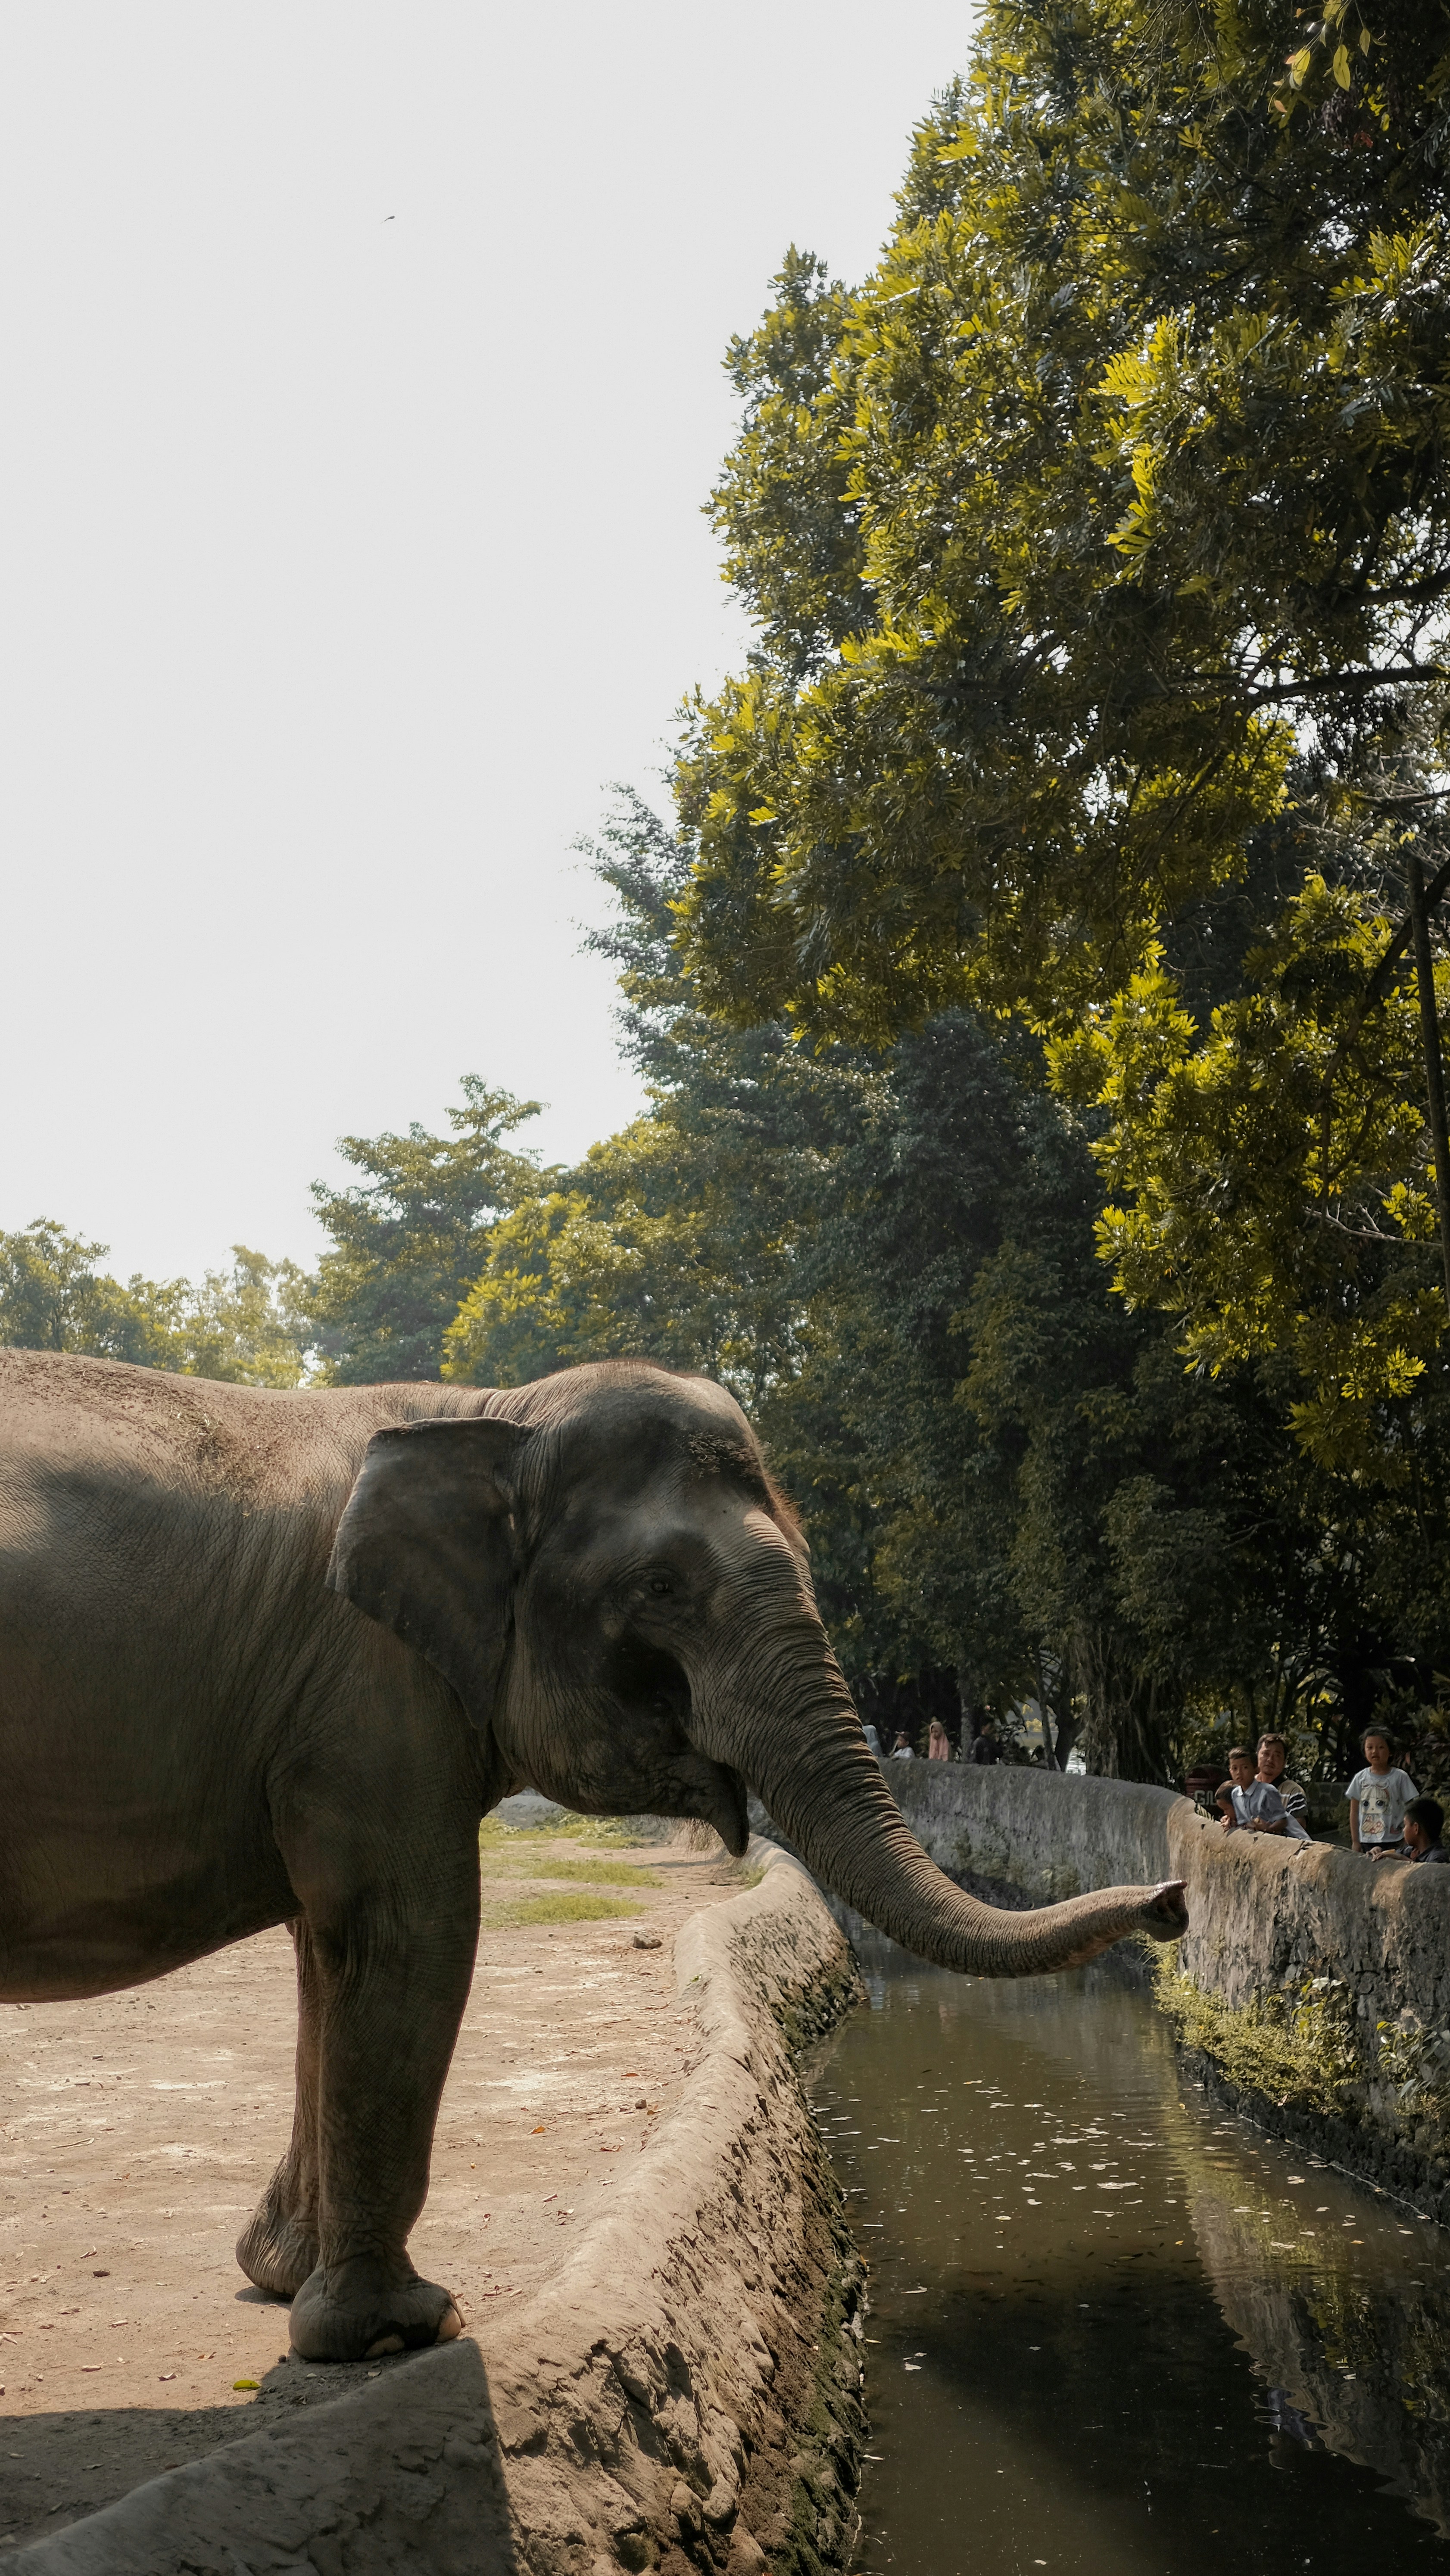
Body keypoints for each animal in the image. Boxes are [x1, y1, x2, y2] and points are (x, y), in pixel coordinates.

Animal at [0, 1348, 1187, 2362]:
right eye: (659, 1587)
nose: (1174, 1897)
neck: (487, 1410)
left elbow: (321, 1950)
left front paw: (284, 2277)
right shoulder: (370, 1689)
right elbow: (409, 1933)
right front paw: (396, 2332)